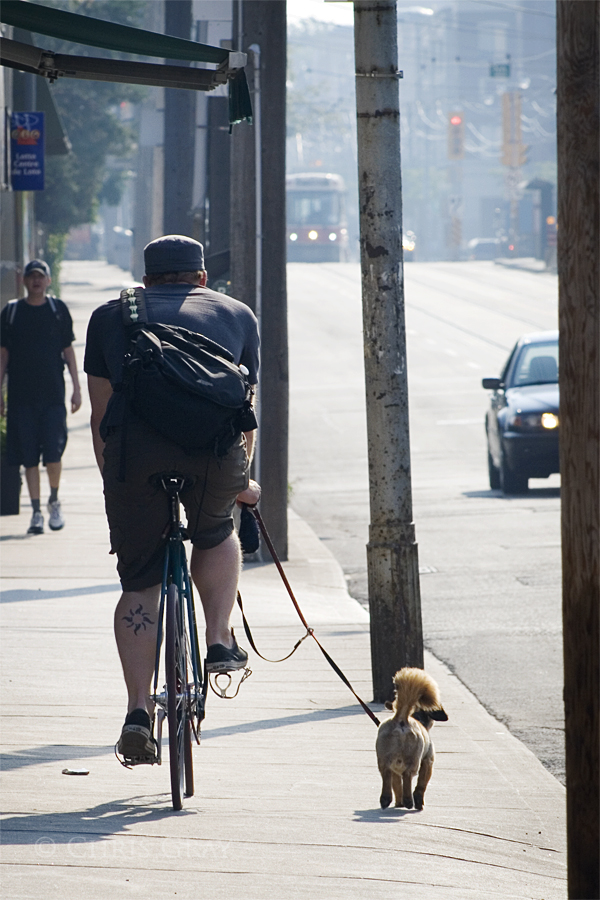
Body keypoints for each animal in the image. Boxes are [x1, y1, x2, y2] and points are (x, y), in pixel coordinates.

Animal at [378, 668, 448, 808]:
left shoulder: (395, 771)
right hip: (414, 759)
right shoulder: (428, 761)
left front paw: (398, 802)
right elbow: (421, 784)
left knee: (386, 774)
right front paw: (418, 800)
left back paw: (386, 798)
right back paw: (408, 800)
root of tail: (401, 718)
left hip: (384, 758)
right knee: (408, 775)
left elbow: (397, 785)